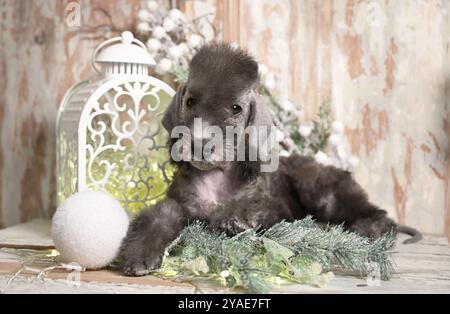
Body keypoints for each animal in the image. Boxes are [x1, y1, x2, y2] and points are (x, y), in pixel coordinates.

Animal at [120, 43, 422, 274]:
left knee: (379, 217)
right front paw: (139, 254)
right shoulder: (179, 202)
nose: (200, 143)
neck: (217, 176)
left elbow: (253, 207)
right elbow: (159, 217)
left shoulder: (271, 205)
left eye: (236, 108)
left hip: (319, 187)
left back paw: (358, 229)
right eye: (190, 101)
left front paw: (233, 219)